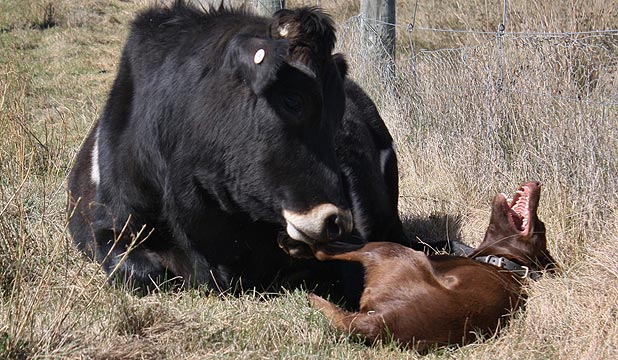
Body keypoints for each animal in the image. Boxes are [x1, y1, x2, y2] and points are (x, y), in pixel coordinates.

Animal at [310, 181, 556, 350]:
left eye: (540, 225)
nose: (537, 184)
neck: (504, 263)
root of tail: (379, 322)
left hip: (390, 250)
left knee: (324, 251)